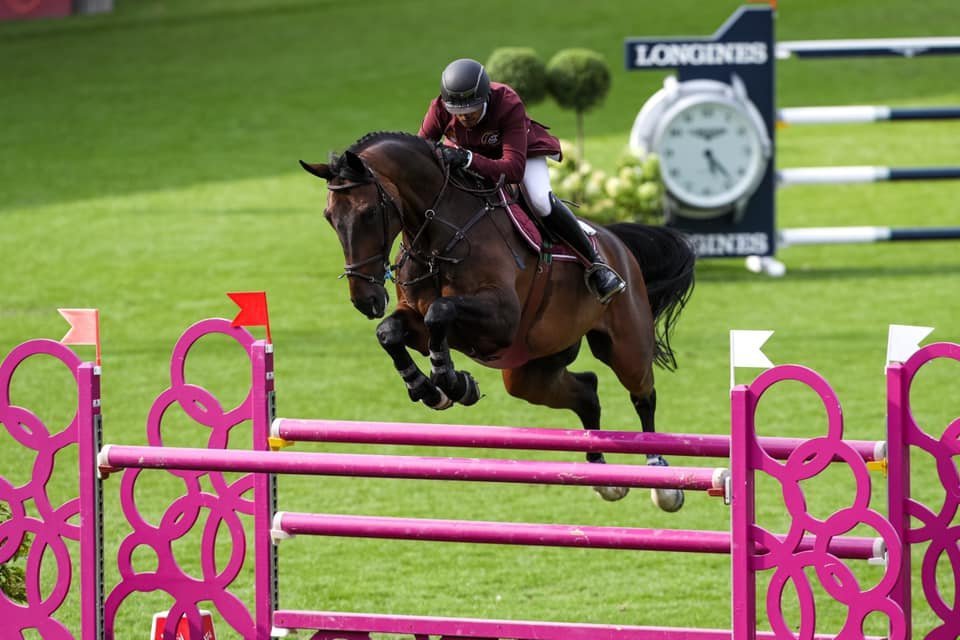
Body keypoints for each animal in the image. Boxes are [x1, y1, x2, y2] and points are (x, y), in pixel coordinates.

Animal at [296, 134, 692, 510]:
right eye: (329, 217)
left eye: (367, 213)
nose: (366, 300)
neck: (438, 234)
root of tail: (617, 244)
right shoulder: (421, 325)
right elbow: (390, 331)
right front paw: (433, 389)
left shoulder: (500, 318)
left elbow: (441, 310)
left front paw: (451, 381)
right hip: (530, 371)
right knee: (587, 392)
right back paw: (602, 475)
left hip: (625, 344)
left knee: (643, 394)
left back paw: (660, 477)